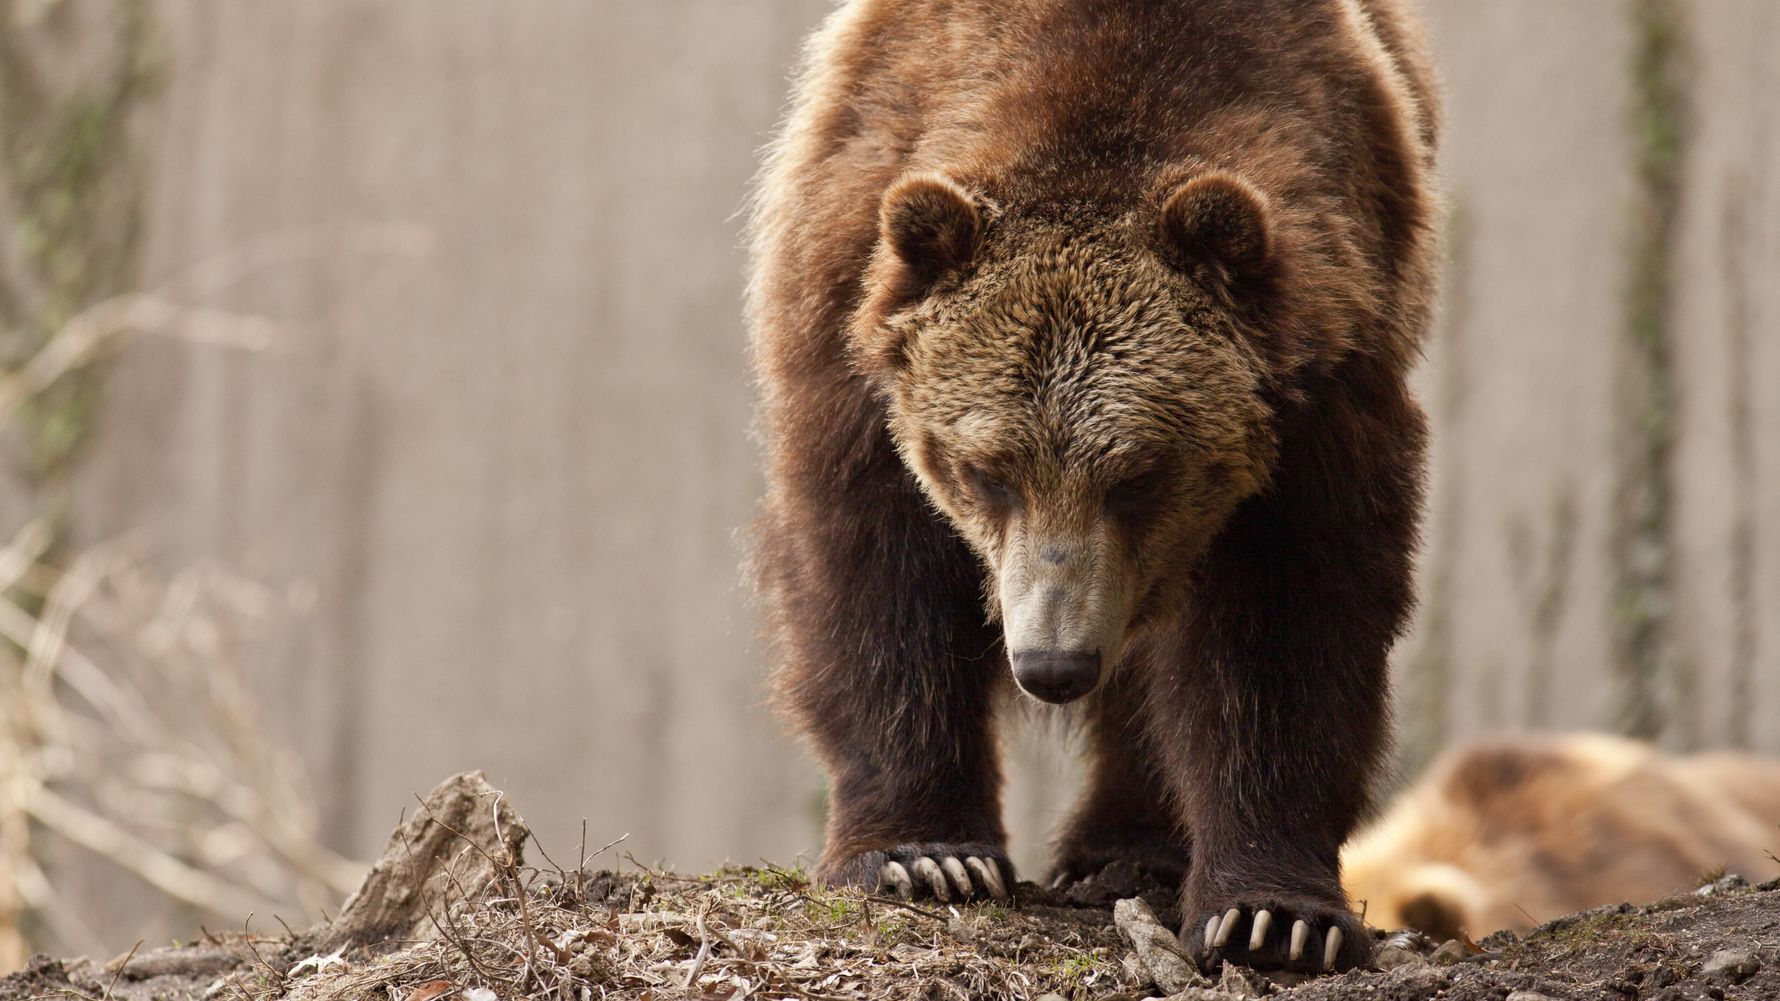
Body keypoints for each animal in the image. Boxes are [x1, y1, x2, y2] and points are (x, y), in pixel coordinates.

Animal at [746, 0, 1440, 974]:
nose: (1052, 663)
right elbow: (876, 573)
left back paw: (1130, 850)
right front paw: (925, 854)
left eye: (1141, 474)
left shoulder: (1320, 372)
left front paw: (1272, 915)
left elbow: (1284, 624)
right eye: (987, 471)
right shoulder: (849, 294)